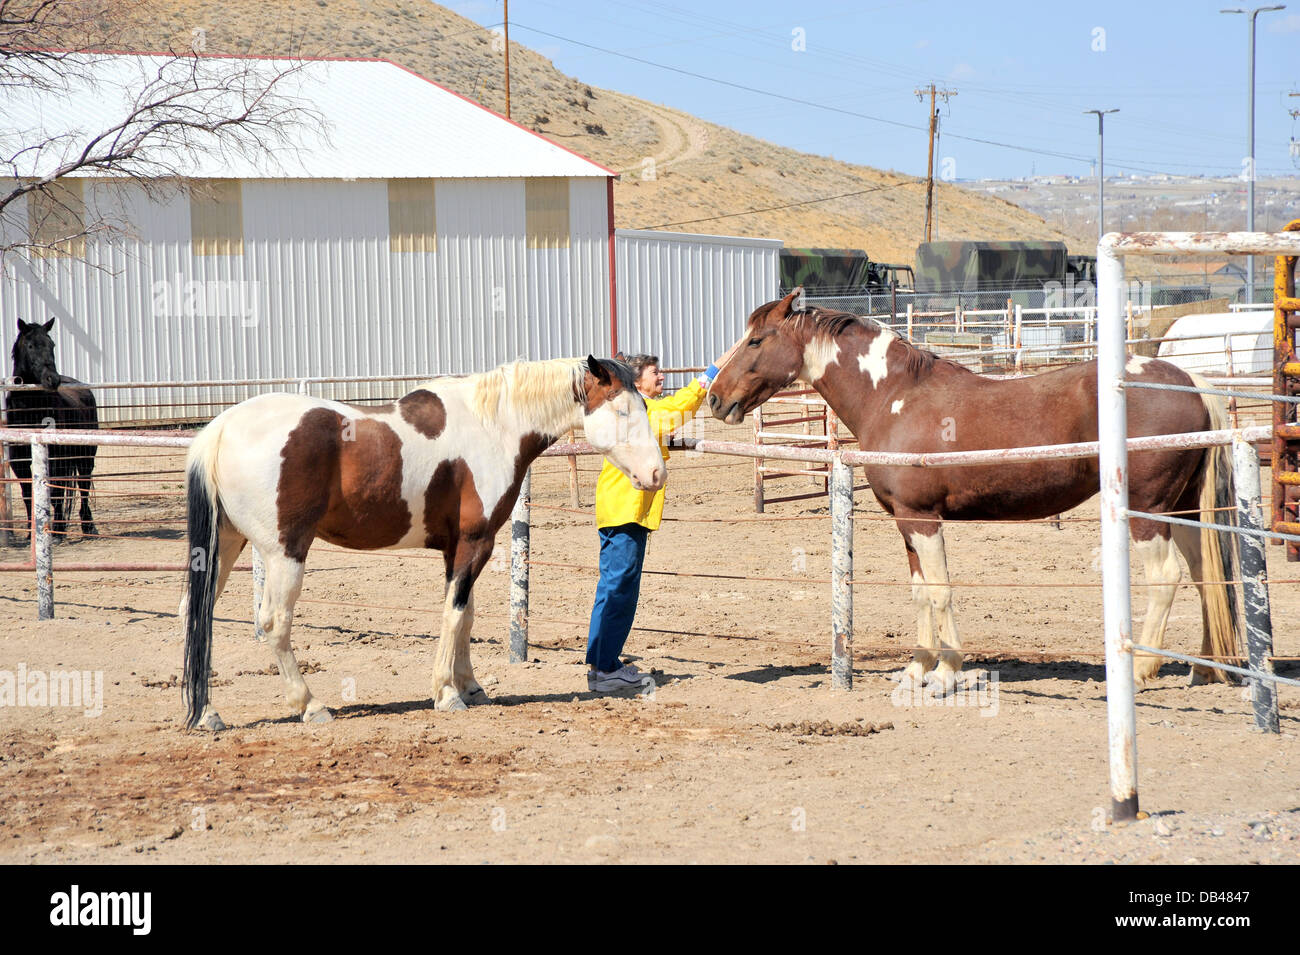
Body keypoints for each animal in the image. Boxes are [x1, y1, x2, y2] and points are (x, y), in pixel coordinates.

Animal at [6, 320, 98, 540]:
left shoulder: (56, 458)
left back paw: (87, 526)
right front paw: (31, 532)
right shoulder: (19, 462)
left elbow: (56, 493)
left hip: (85, 456)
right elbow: (28, 494)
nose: (52, 379)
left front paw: (56, 532)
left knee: (83, 485)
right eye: (31, 345)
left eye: (52, 345)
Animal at [182, 356, 660, 727]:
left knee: (196, 611)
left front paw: (470, 687)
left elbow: (466, 616)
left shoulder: (457, 548)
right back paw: (311, 706)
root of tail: (222, 427)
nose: (657, 474)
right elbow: (454, 614)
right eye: (622, 412)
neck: (493, 427)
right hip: (284, 554)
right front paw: (446, 694)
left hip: (226, 546)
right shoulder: (475, 542)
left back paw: (206, 713)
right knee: (274, 623)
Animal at [712, 291, 1237, 696]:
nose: (716, 398)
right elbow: (920, 593)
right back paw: (1205, 670)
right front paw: (916, 670)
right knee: (1204, 575)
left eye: (756, 339)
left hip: (1147, 511)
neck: (895, 396)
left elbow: (941, 591)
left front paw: (945, 674)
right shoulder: (906, 521)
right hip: (1182, 510)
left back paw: (1144, 669)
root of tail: (1190, 381)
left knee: (1167, 577)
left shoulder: (923, 519)